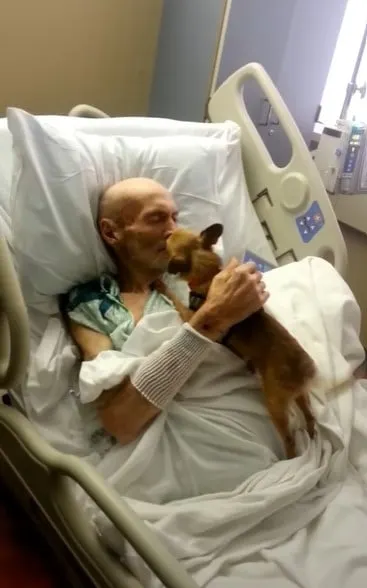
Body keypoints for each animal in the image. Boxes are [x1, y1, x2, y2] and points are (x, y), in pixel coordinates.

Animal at [160, 223, 316, 458]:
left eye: (168, 240)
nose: (168, 229)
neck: (207, 276)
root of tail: (304, 370)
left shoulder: (191, 317)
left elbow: (176, 301)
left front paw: (160, 286)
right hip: (299, 395)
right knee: (309, 414)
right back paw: (312, 433)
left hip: (274, 403)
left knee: (289, 438)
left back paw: (289, 456)